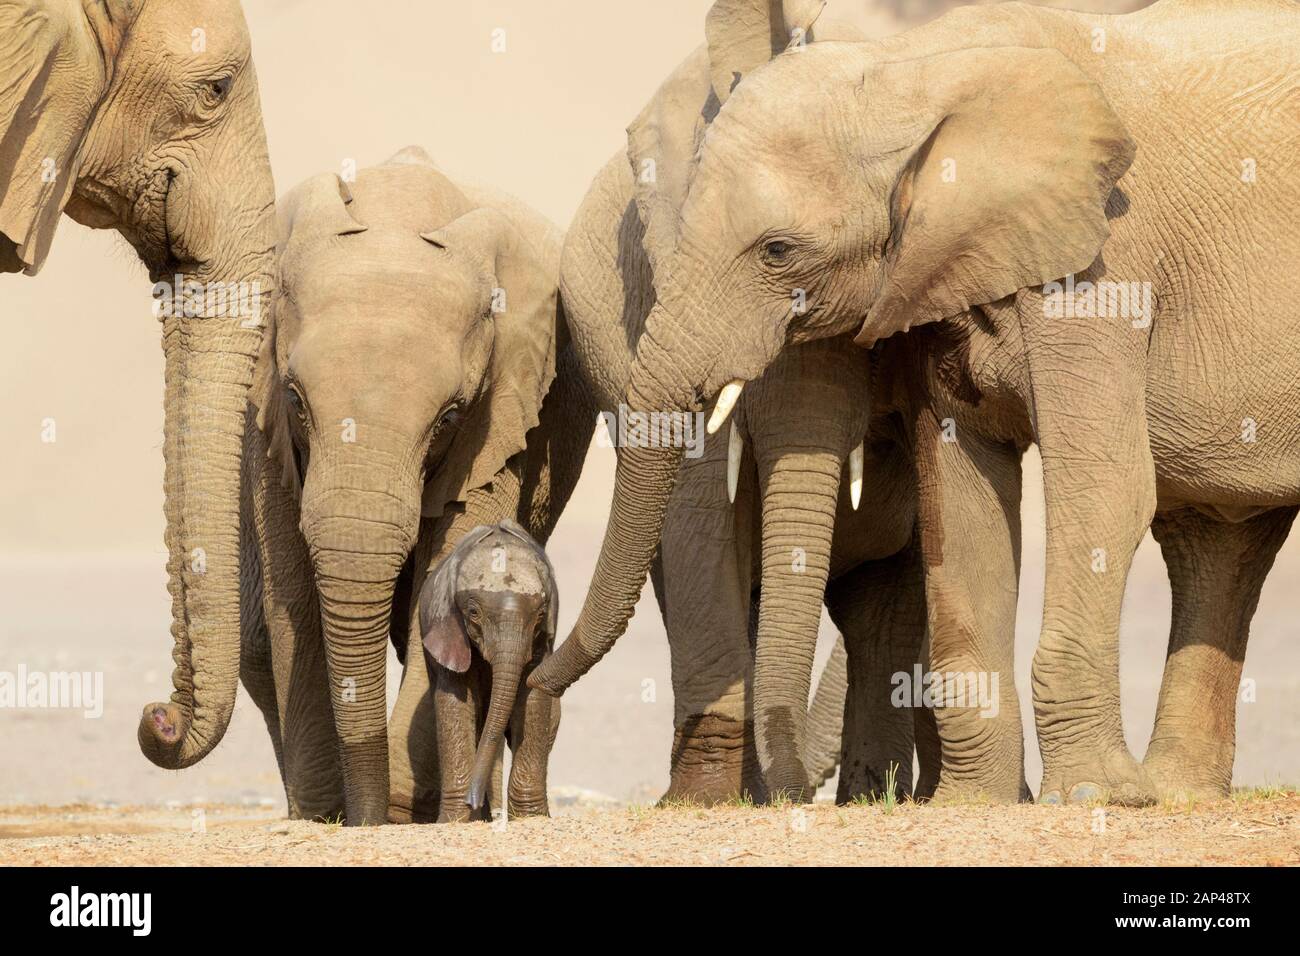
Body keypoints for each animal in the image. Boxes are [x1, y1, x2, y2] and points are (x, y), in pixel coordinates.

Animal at [418, 520, 560, 821]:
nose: (472, 799)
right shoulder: (448, 628)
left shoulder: (541, 640)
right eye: (473, 613)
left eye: (541, 615)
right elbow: (454, 700)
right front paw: (455, 821)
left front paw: (532, 818)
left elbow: (533, 699)